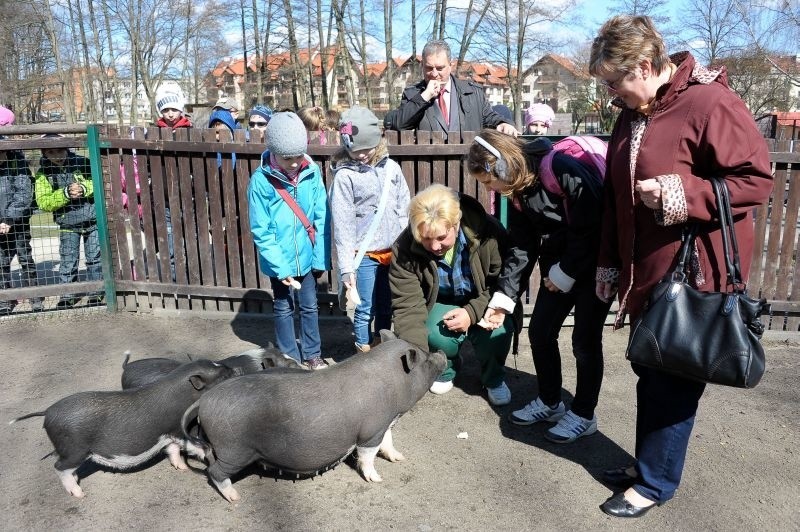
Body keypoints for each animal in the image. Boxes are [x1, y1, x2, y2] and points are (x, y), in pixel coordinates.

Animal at [9, 360, 234, 496]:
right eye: (221, 376)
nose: (234, 369)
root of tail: (47, 412)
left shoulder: (167, 434)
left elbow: (172, 450)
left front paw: (183, 468)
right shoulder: (177, 428)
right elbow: (193, 445)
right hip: (75, 450)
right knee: (58, 467)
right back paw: (79, 494)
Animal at [181, 328, 446, 502]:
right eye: (424, 358)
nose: (442, 353)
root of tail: (205, 400)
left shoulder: (386, 423)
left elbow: (388, 443)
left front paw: (400, 458)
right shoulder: (370, 431)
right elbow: (367, 456)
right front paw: (377, 480)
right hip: (234, 450)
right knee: (214, 472)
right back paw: (235, 498)